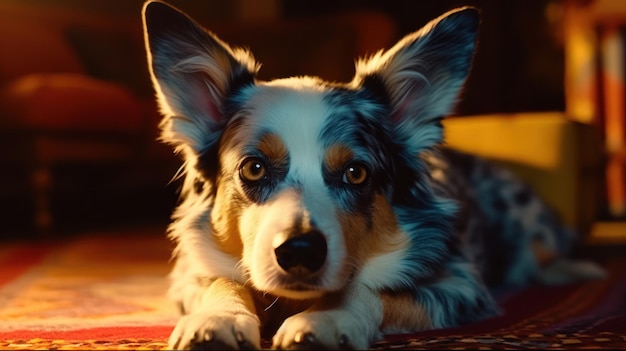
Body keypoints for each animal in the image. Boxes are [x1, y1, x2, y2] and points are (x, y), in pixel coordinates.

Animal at [143, 2, 604, 350]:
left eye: (356, 173)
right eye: (253, 167)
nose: (300, 251)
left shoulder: (459, 283)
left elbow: (373, 288)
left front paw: (326, 320)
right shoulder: (187, 276)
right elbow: (222, 281)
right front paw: (217, 319)